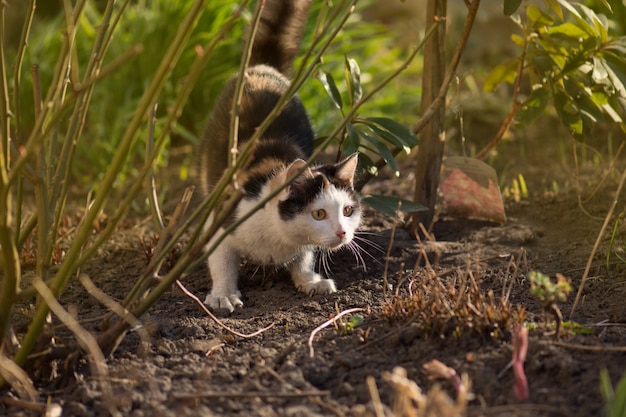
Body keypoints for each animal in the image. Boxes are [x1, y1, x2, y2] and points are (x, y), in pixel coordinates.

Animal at [195, 0, 360, 312]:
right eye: (318, 213)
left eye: (347, 211)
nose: (342, 233)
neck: (277, 236)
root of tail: (260, 67)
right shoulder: (222, 217)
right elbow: (222, 260)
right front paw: (223, 294)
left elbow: (304, 256)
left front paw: (309, 279)